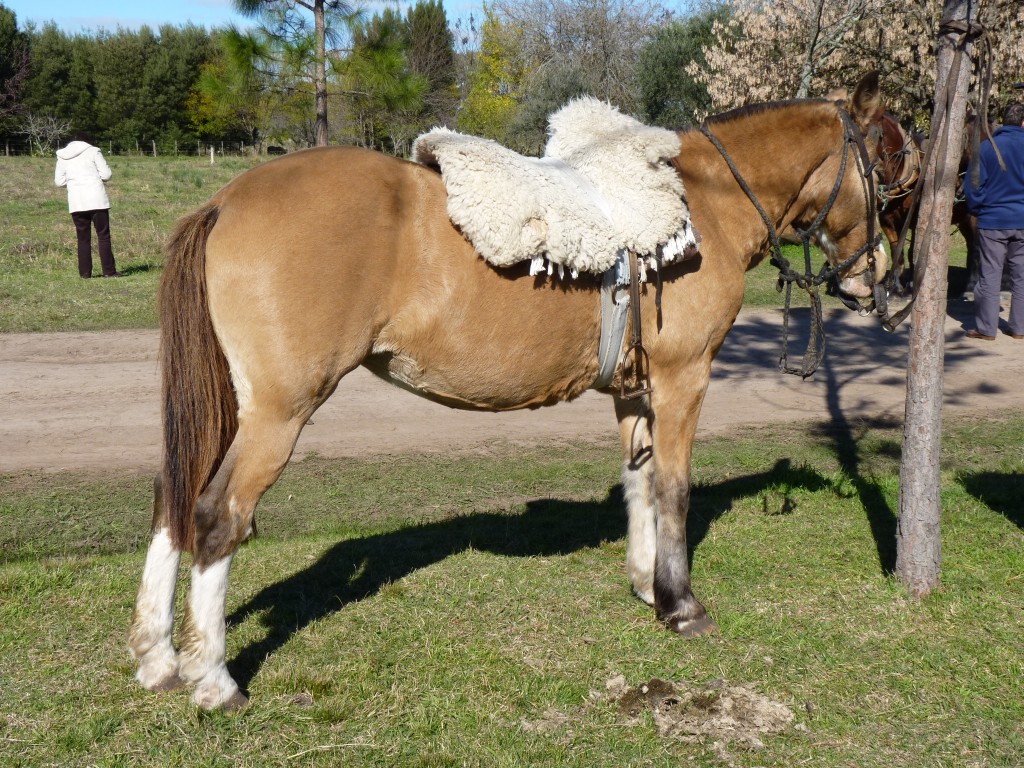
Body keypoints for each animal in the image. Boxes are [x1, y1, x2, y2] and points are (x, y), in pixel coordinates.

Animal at [129, 72, 890, 710]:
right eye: (889, 156)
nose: (883, 275)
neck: (700, 205)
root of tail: (224, 201)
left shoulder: (634, 391)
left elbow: (639, 483)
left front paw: (646, 584)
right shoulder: (684, 378)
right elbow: (673, 489)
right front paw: (680, 605)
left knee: (173, 497)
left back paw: (158, 658)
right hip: (279, 412)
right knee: (216, 515)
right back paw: (214, 679)